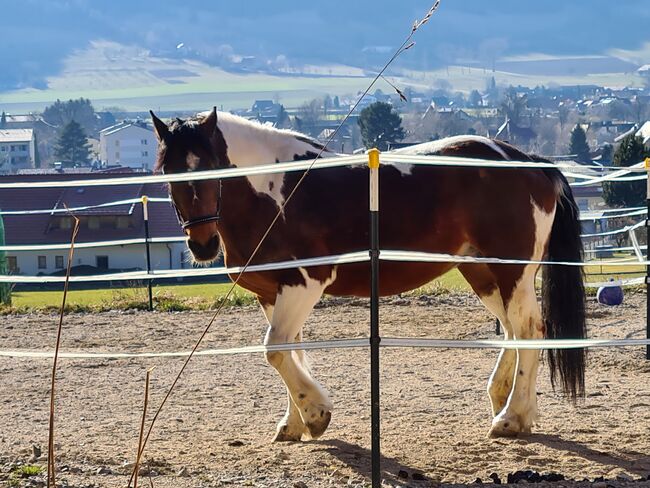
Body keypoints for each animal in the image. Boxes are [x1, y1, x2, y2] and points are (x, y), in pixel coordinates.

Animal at [149, 108, 584, 440]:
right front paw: (294, 423)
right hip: (482, 272)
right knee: (512, 330)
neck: (272, 192)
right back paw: (506, 402)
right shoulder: (271, 294)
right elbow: (290, 350)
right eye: (167, 170)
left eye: (210, 167)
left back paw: (512, 417)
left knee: (529, 329)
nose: (202, 244)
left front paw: (316, 415)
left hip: (513, 270)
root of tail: (529, 162)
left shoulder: (303, 283)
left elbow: (275, 349)